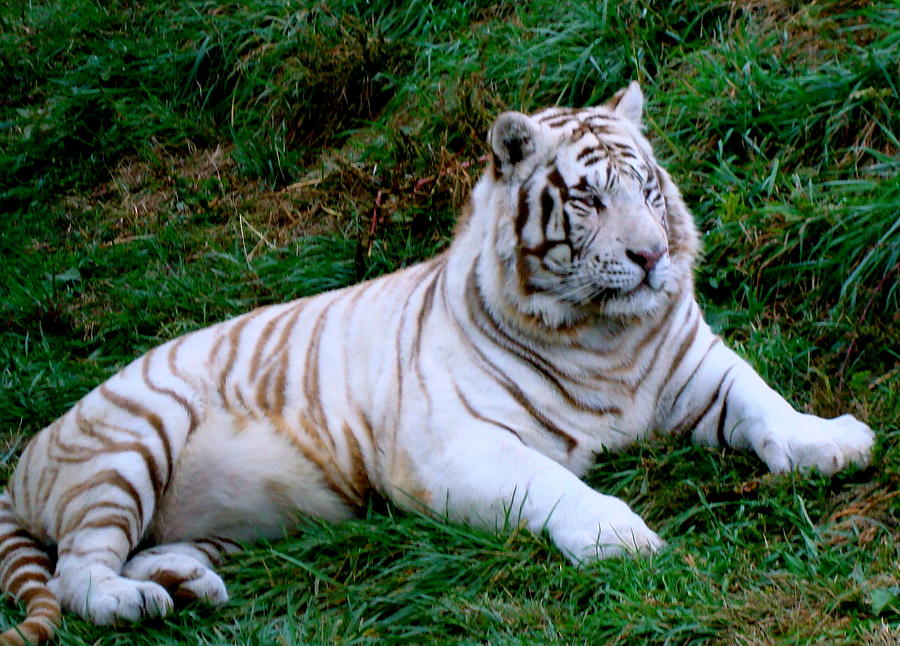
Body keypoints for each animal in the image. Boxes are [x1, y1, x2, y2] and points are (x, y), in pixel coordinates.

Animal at [0, 83, 872, 644]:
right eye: (589, 199)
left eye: (649, 189)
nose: (652, 256)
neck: (605, 338)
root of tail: (28, 454)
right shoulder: (451, 446)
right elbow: (551, 482)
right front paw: (619, 536)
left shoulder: (698, 367)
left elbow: (764, 401)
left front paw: (830, 442)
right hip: (130, 441)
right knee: (78, 570)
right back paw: (132, 604)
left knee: (141, 549)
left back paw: (186, 588)